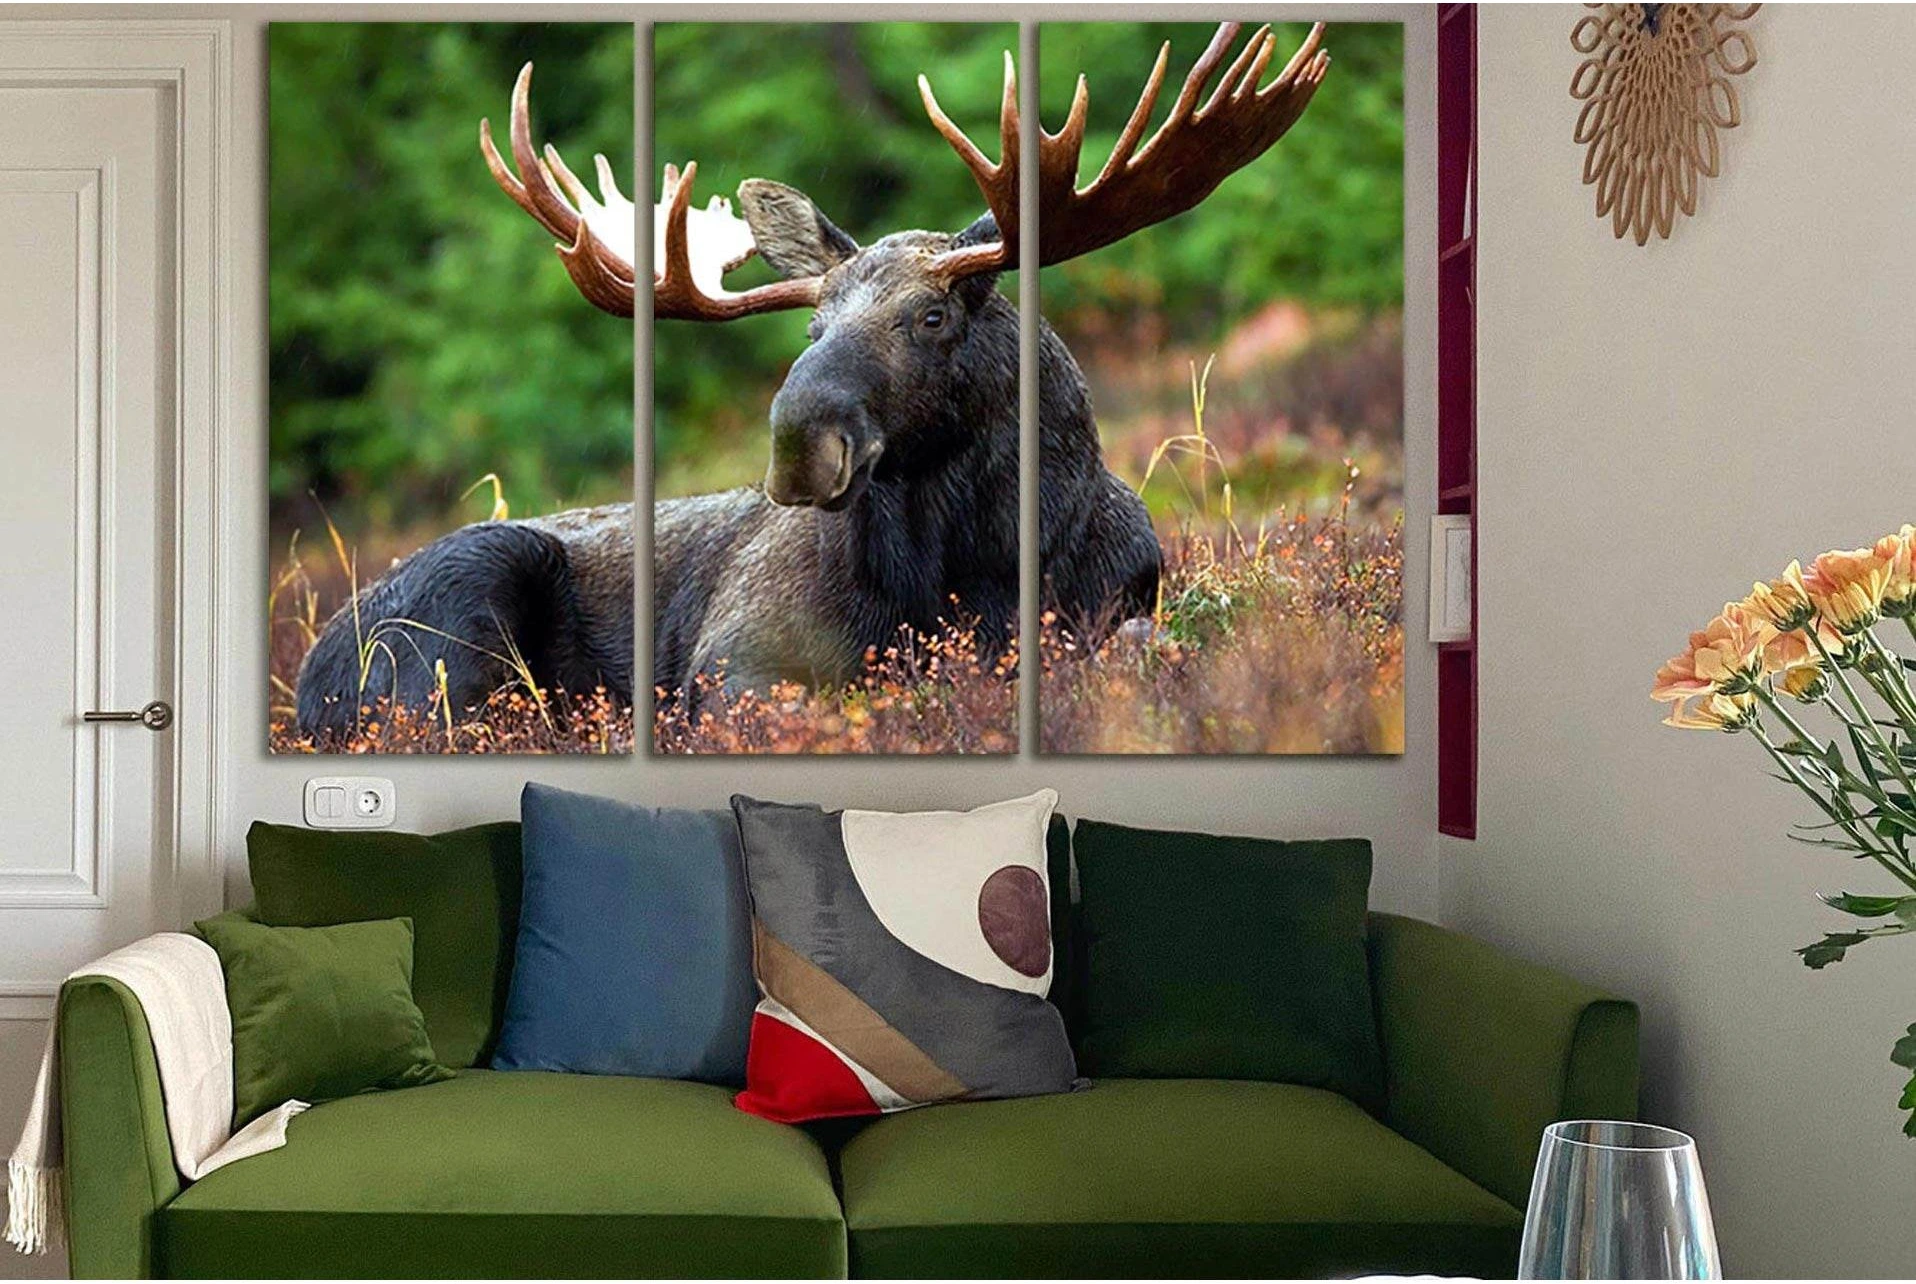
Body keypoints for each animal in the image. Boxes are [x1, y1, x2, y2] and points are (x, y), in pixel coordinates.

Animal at [292, 23, 1329, 739]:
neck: (977, 570)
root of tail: (305, 686)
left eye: (933, 315)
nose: (799, 444)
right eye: (812, 324)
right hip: (455, 620)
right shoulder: (735, 660)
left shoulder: (1122, 604)